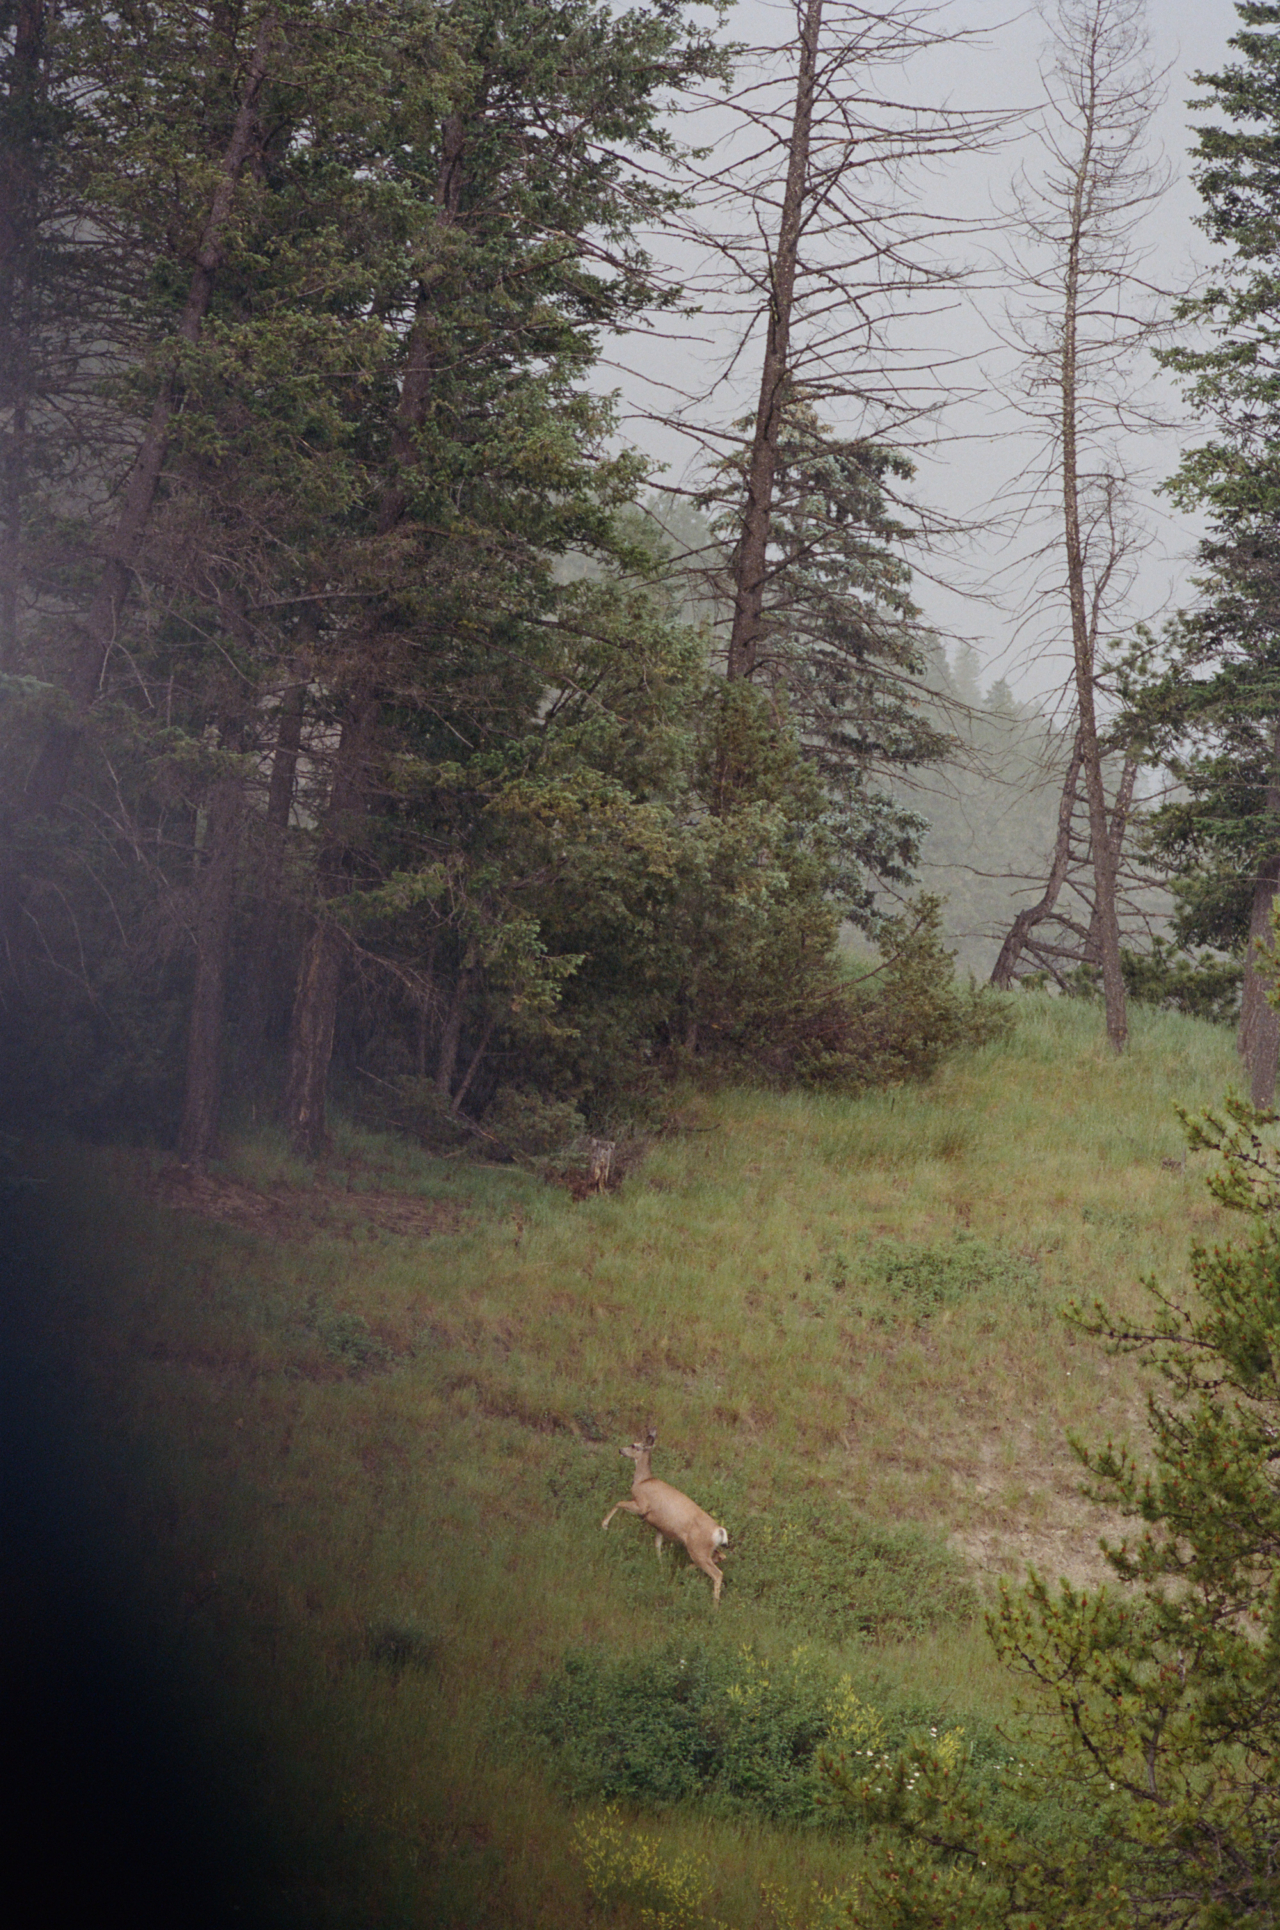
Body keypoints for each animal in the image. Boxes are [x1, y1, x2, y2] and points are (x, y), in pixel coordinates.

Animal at [601, 1427, 729, 1604]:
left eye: (634, 1445)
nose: (620, 1450)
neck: (643, 1481)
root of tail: (719, 1531)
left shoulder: (642, 1505)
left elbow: (618, 1502)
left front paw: (604, 1524)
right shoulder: (660, 1527)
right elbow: (657, 1545)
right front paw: (660, 1565)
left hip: (698, 1549)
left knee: (717, 1574)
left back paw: (714, 1604)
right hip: (705, 1549)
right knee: (720, 1557)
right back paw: (684, 1570)